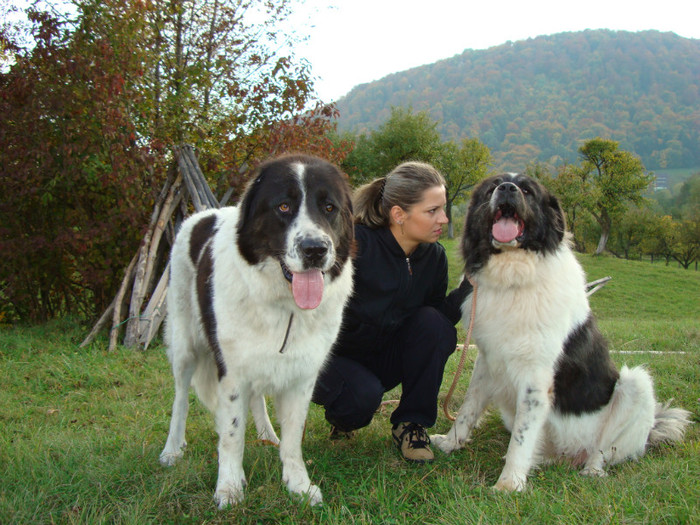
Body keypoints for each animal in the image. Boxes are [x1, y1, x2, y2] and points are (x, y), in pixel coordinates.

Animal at [161, 154, 352, 506]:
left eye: (329, 207)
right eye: (283, 207)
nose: (315, 249)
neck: (284, 305)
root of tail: (201, 214)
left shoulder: (302, 375)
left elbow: (293, 437)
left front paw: (298, 485)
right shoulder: (232, 371)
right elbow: (232, 435)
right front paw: (229, 488)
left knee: (257, 399)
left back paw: (267, 435)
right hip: (185, 344)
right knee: (180, 397)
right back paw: (171, 450)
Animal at [432, 174, 688, 490]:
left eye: (527, 190)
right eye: (492, 187)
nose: (507, 189)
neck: (513, 276)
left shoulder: (536, 376)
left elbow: (521, 438)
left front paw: (509, 485)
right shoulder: (486, 360)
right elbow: (469, 407)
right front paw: (450, 443)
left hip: (635, 384)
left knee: (602, 451)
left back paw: (591, 470)